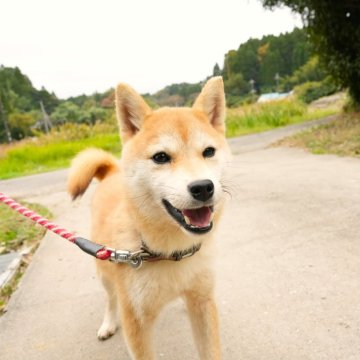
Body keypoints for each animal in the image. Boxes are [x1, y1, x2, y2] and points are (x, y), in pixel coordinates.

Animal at [67, 76, 231, 360]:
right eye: (161, 157)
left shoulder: (203, 302)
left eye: (208, 151)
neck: (169, 253)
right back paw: (108, 324)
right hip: (104, 270)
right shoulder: (136, 320)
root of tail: (111, 172)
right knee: (110, 299)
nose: (203, 187)